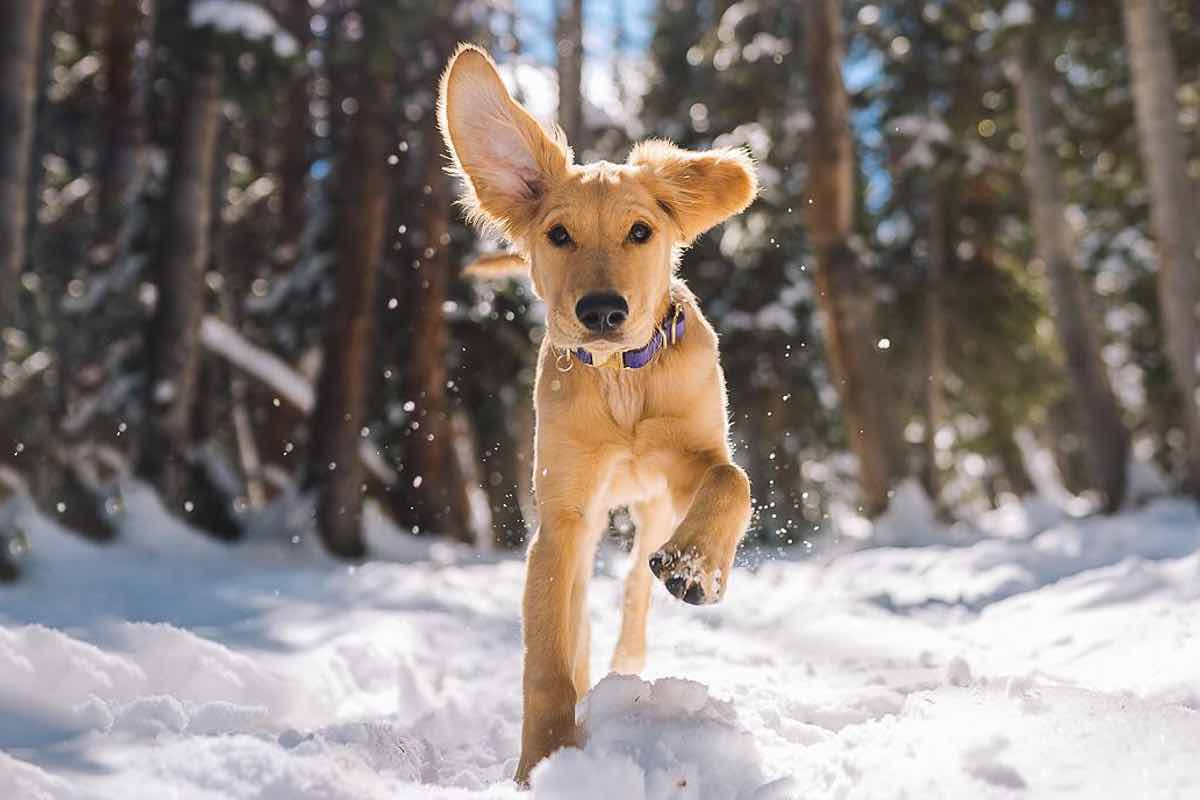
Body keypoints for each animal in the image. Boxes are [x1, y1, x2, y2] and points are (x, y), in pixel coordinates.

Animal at [439, 42, 758, 782]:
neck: (622, 386)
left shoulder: (686, 467)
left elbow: (732, 478)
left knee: (637, 592)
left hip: (652, 512)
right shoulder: (564, 517)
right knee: (581, 618)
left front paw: (697, 565)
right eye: (558, 234)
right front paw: (546, 762)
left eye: (641, 231)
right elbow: (549, 657)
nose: (603, 311)